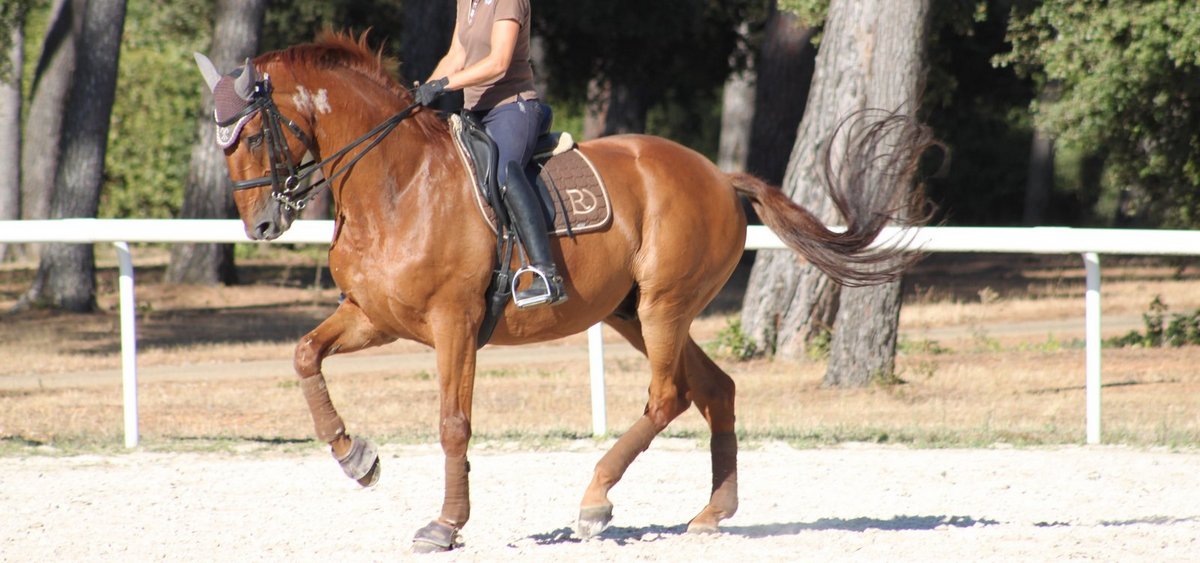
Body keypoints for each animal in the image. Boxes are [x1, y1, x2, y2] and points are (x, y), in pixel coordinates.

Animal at [196, 32, 931, 549]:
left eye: (251, 135)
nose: (261, 225)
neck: (396, 182)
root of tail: (719, 175)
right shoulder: (374, 316)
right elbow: (304, 356)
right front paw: (356, 457)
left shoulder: (453, 324)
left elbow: (453, 423)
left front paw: (445, 523)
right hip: (632, 313)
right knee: (714, 388)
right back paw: (710, 513)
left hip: (662, 307)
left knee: (669, 397)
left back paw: (596, 501)